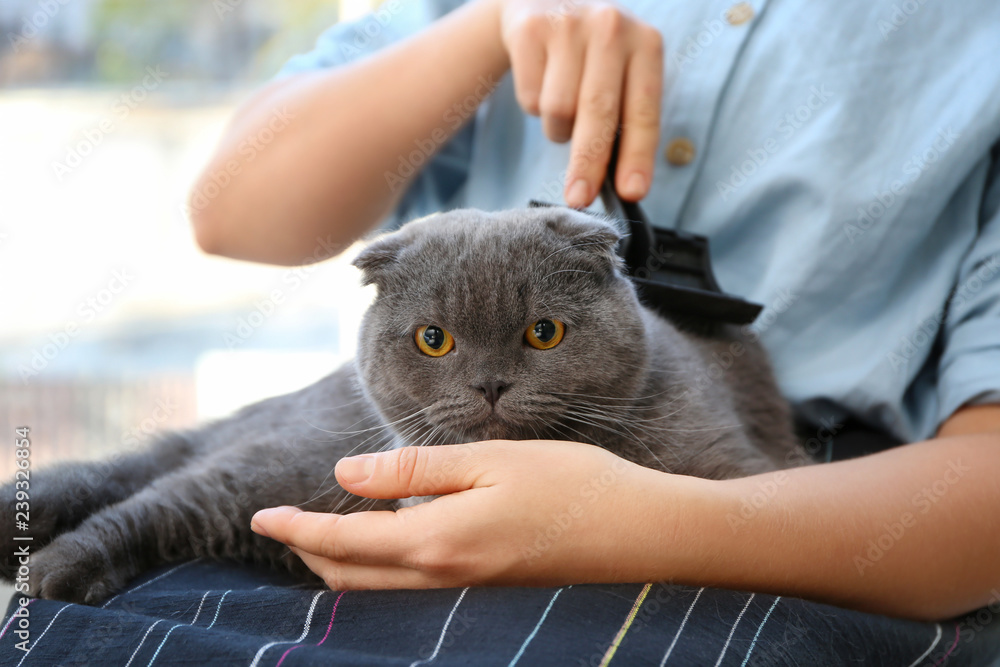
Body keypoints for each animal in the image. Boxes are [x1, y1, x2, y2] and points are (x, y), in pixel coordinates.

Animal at [0, 207, 808, 604]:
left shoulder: (741, 469)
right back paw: (60, 568)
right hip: (273, 469)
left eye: (543, 332)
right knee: (153, 498)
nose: (489, 384)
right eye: (433, 339)